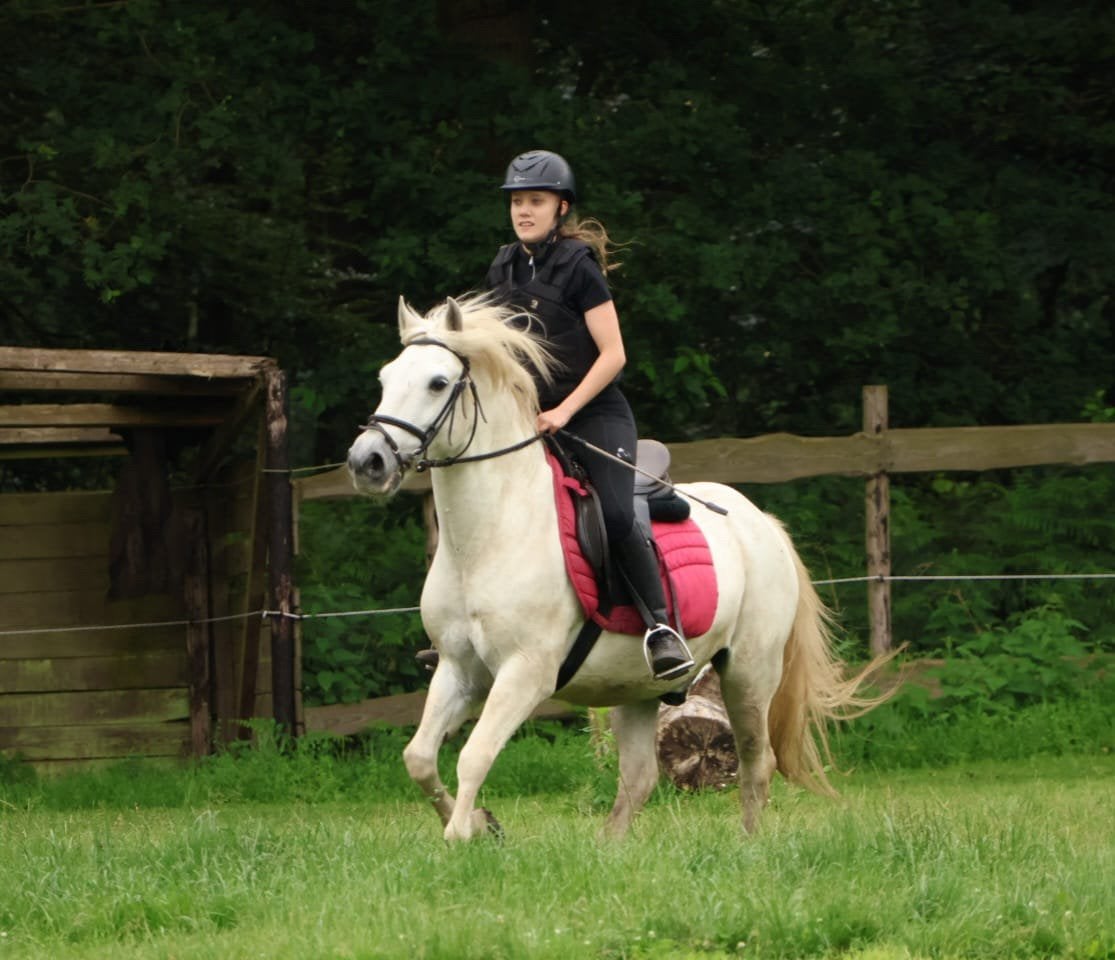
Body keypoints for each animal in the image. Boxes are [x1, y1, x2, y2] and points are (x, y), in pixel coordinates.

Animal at [346, 294, 895, 842]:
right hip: (636, 687)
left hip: (749, 673)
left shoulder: (526, 673)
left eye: (438, 382)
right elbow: (419, 756)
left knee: (756, 763)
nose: (367, 462)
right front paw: (483, 823)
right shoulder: (458, 670)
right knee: (639, 777)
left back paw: (747, 846)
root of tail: (761, 523)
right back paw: (608, 848)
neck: (491, 535)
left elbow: (474, 756)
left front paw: (463, 834)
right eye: (386, 377)